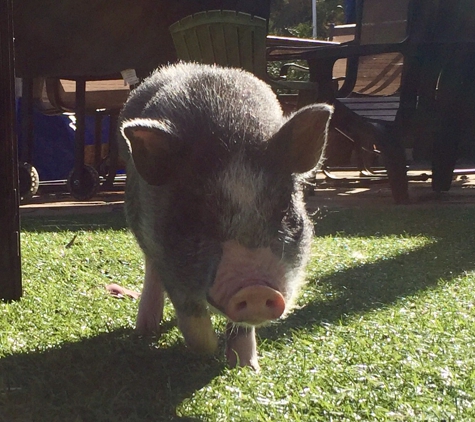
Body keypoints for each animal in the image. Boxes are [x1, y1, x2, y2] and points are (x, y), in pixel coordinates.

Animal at [119, 61, 334, 370]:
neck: (232, 132)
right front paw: (209, 352)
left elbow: (243, 326)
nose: (256, 289)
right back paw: (145, 330)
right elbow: (192, 318)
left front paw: (247, 367)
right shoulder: (167, 255)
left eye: (284, 209)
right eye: (195, 212)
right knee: (151, 269)